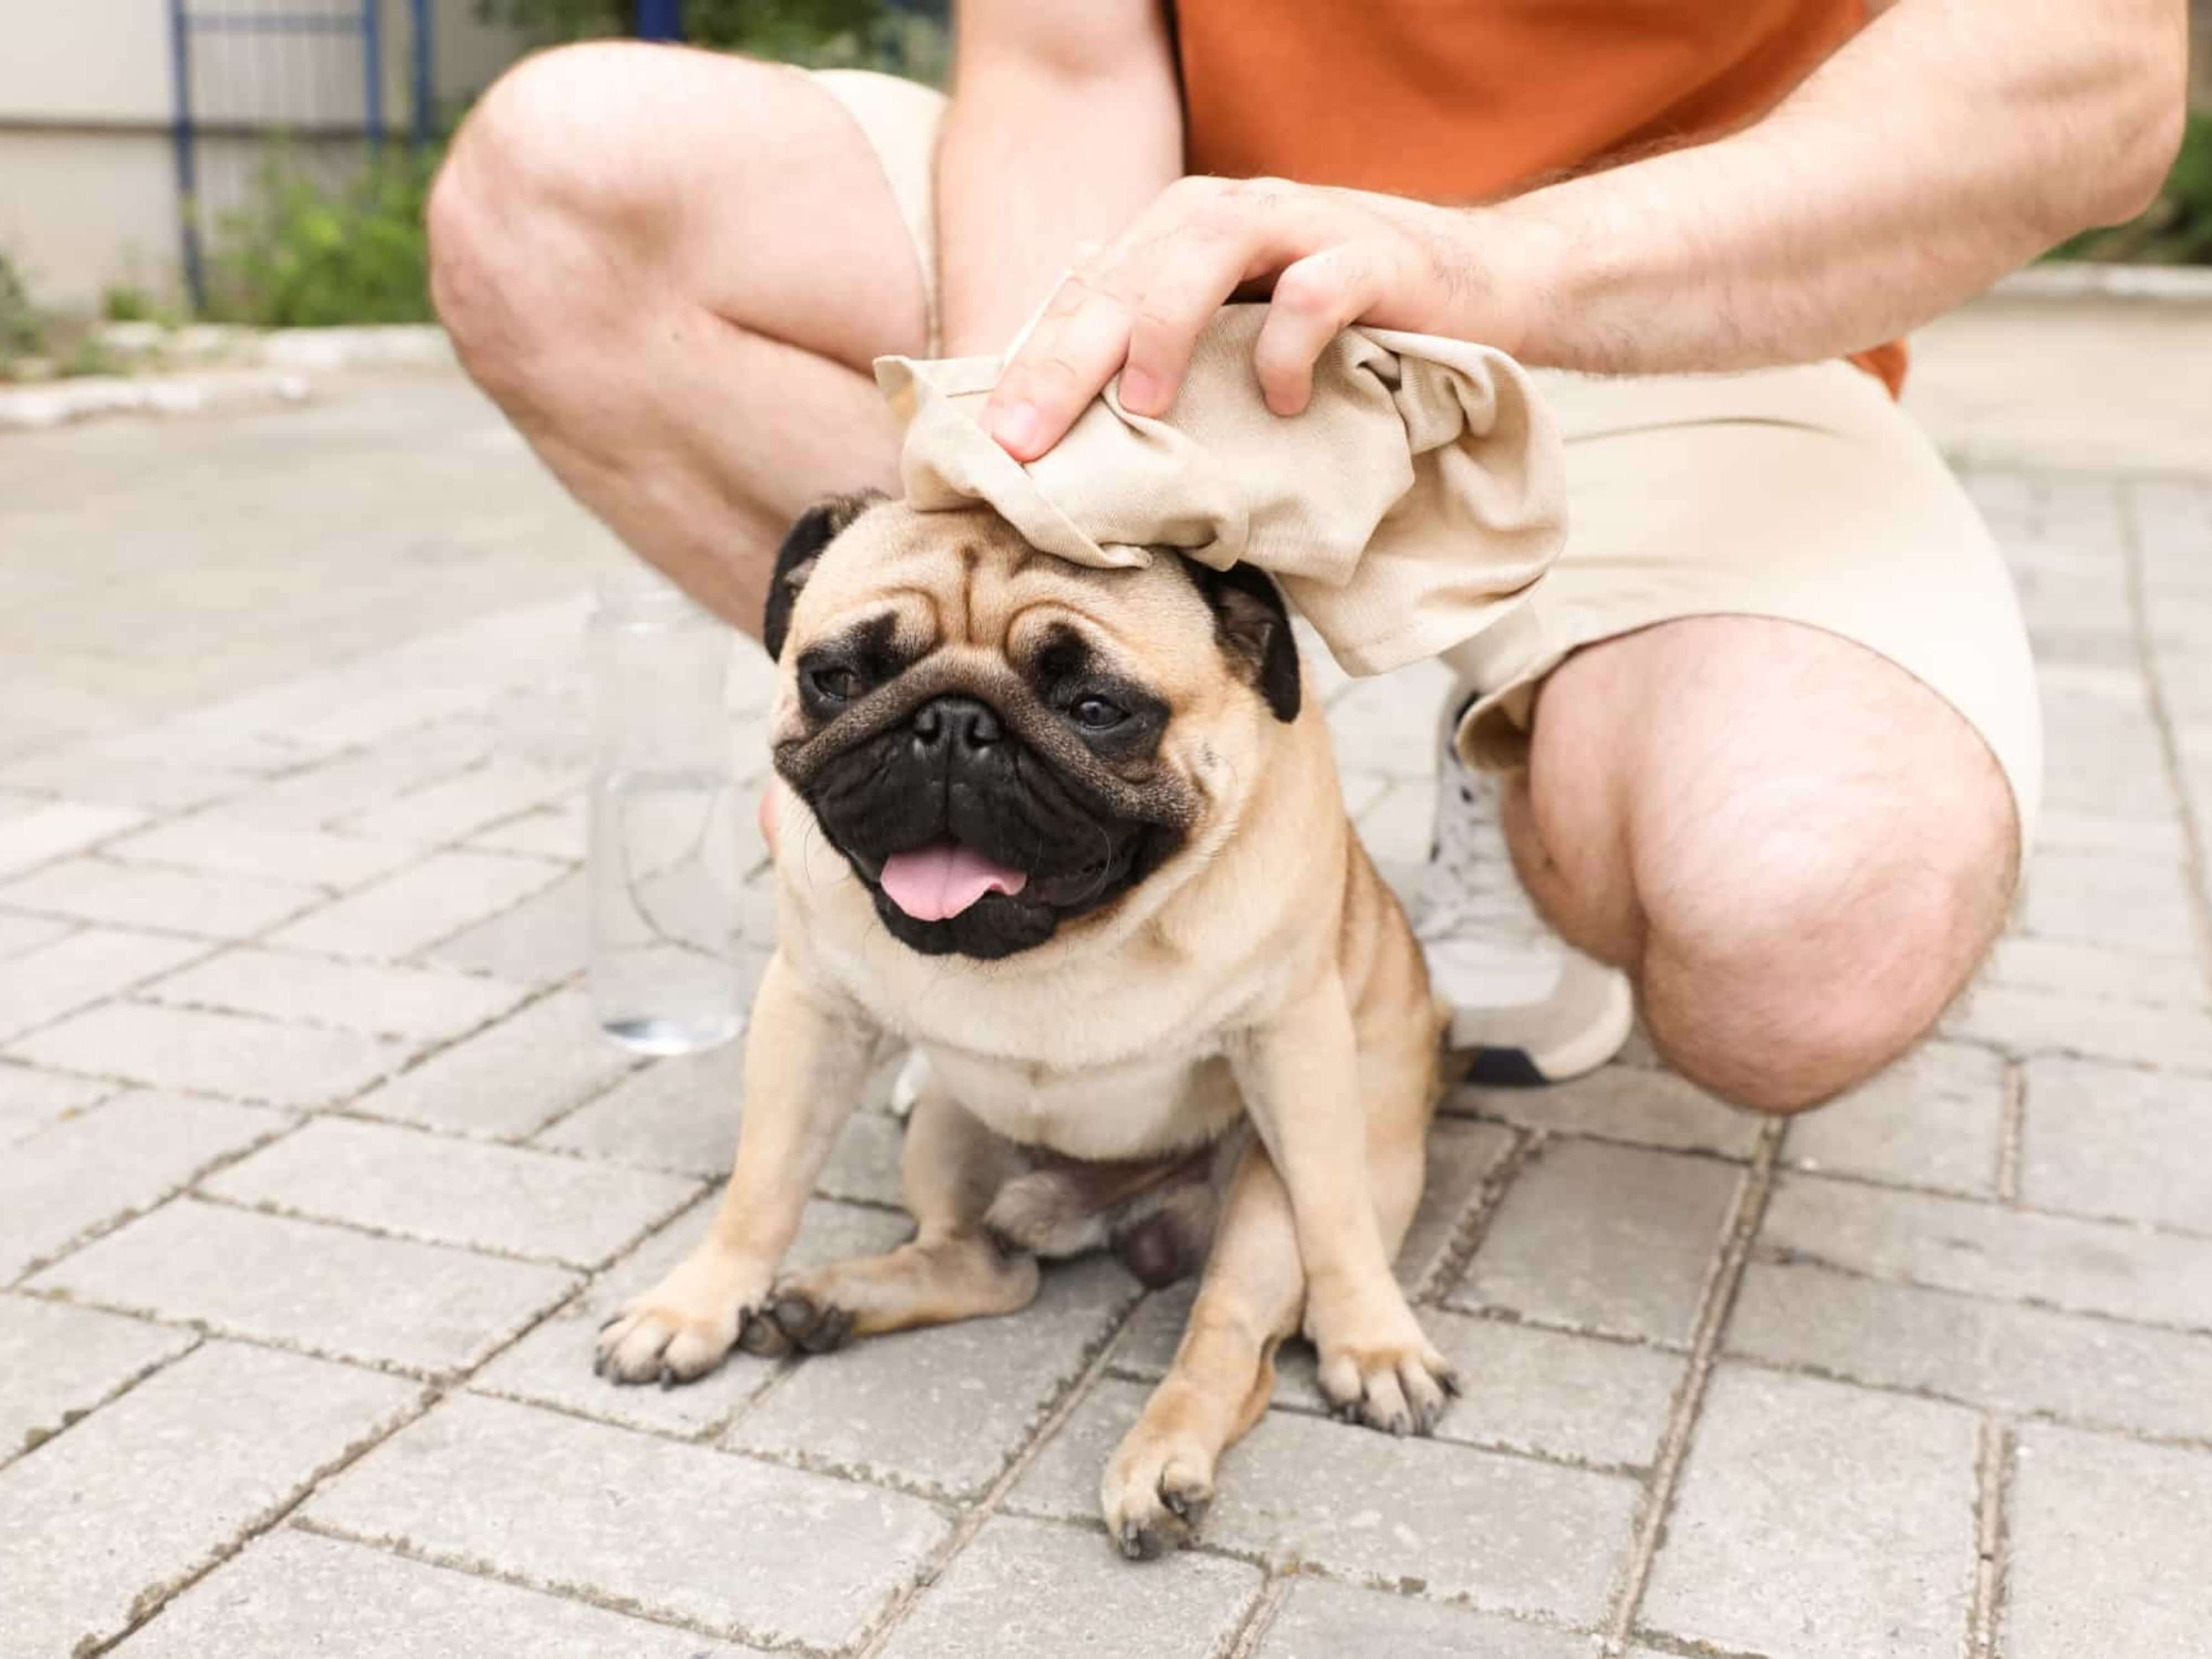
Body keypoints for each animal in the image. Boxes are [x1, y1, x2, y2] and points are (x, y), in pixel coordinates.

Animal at [593, 493, 1451, 1557]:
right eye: (838, 679)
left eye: (1096, 709)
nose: (954, 723)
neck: (1054, 950)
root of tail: (1123, 1213)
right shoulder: (812, 1011)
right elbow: (761, 1188)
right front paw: (697, 1305)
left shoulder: (1291, 1042)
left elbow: (1335, 1218)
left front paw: (1372, 1340)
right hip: (950, 1130)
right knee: (991, 1269)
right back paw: (829, 1302)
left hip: (1263, 1202)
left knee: (1228, 1339)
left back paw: (1163, 1462)